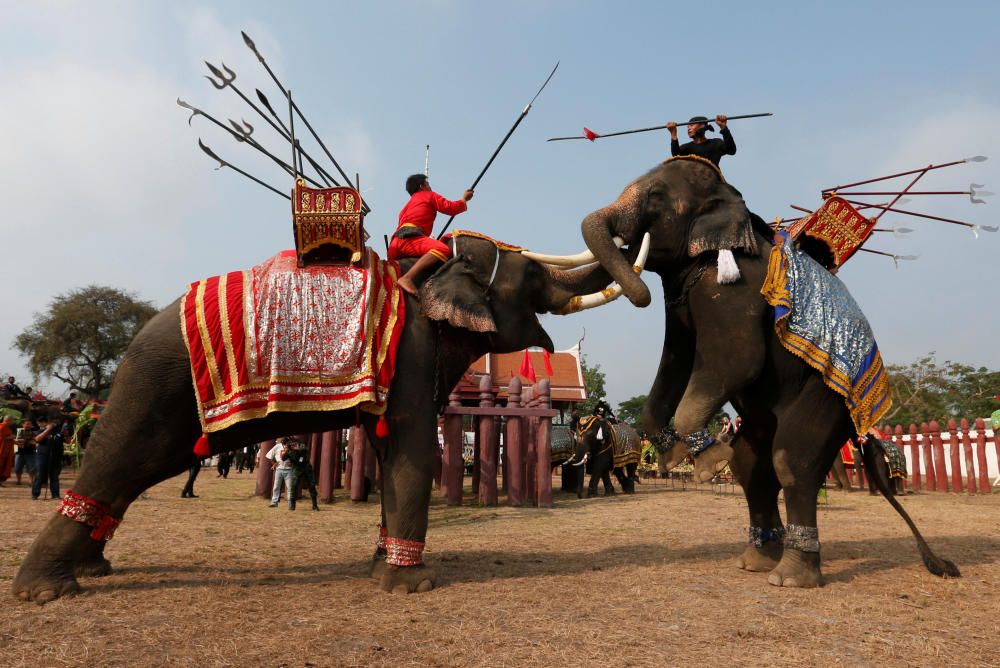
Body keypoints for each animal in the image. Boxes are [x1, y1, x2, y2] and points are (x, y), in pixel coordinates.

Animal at [11, 236, 632, 604]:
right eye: (532, 278)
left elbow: (390, 453)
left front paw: (380, 566)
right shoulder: (410, 354)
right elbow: (414, 452)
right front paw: (413, 585)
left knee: (135, 472)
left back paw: (93, 570)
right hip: (158, 385)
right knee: (124, 458)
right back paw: (45, 592)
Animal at [568, 155, 956, 584]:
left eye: (655, 197)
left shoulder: (736, 289)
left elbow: (737, 358)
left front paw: (706, 465)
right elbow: (676, 360)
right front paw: (675, 456)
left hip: (830, 398)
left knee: (792, 460)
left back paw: (790, 577)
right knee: (752, 467)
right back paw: (755, 561)